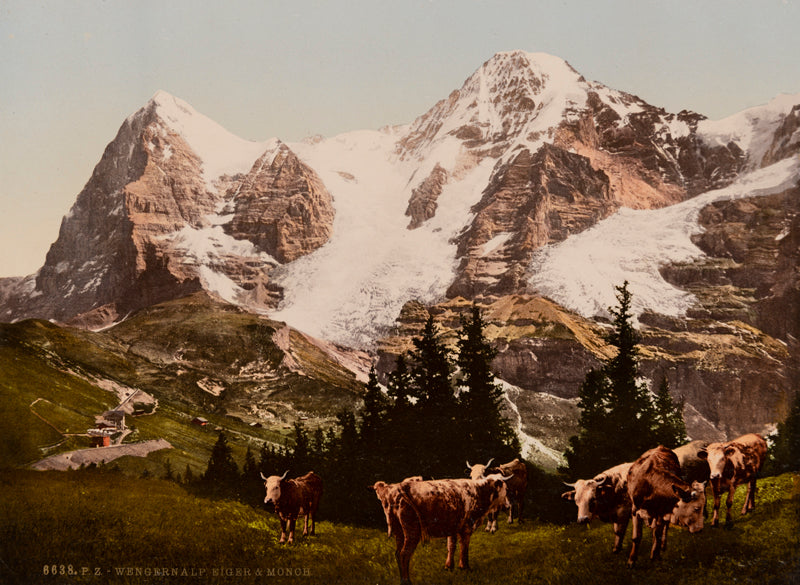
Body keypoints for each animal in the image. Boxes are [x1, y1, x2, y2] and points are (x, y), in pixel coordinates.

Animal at [368, 476, 506, 580]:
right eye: (505, 489)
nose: (507, 505)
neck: (478, 491)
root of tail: (396, 488)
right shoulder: (467, 527)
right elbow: (464, 549)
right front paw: (465, 567)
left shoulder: (453, 527)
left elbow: (451, 546)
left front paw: (449, 566)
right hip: (412, 531)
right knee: (404, 554)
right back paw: (406, 581)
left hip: (399, 532)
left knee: (397, 553)